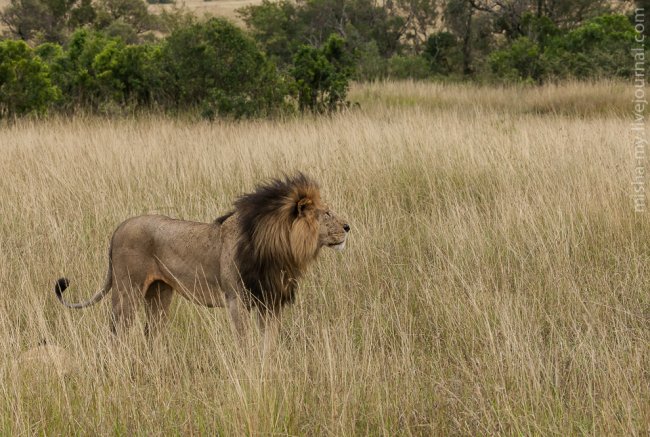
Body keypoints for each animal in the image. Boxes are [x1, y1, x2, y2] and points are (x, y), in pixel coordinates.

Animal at [54, 173, 350, 338]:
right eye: (326, 213)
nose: (348, 227)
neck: (281, 250)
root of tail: (118, 229)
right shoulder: (236, 301)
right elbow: (246, 343)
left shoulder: (271, 302)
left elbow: (269, 343)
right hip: (128, 291)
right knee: (116, 333)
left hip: (160, 294)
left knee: (151, 334)